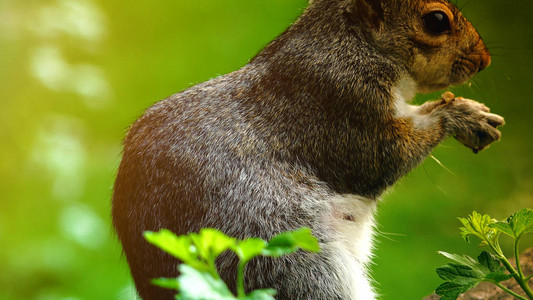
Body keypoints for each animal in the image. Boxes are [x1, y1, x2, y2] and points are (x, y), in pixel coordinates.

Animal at [111, 0, 502, 298]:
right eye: (436, 20)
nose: (485, 60)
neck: (349, 44)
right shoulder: (338, 105)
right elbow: (383, 158)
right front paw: (460, 115)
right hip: (293, 261)